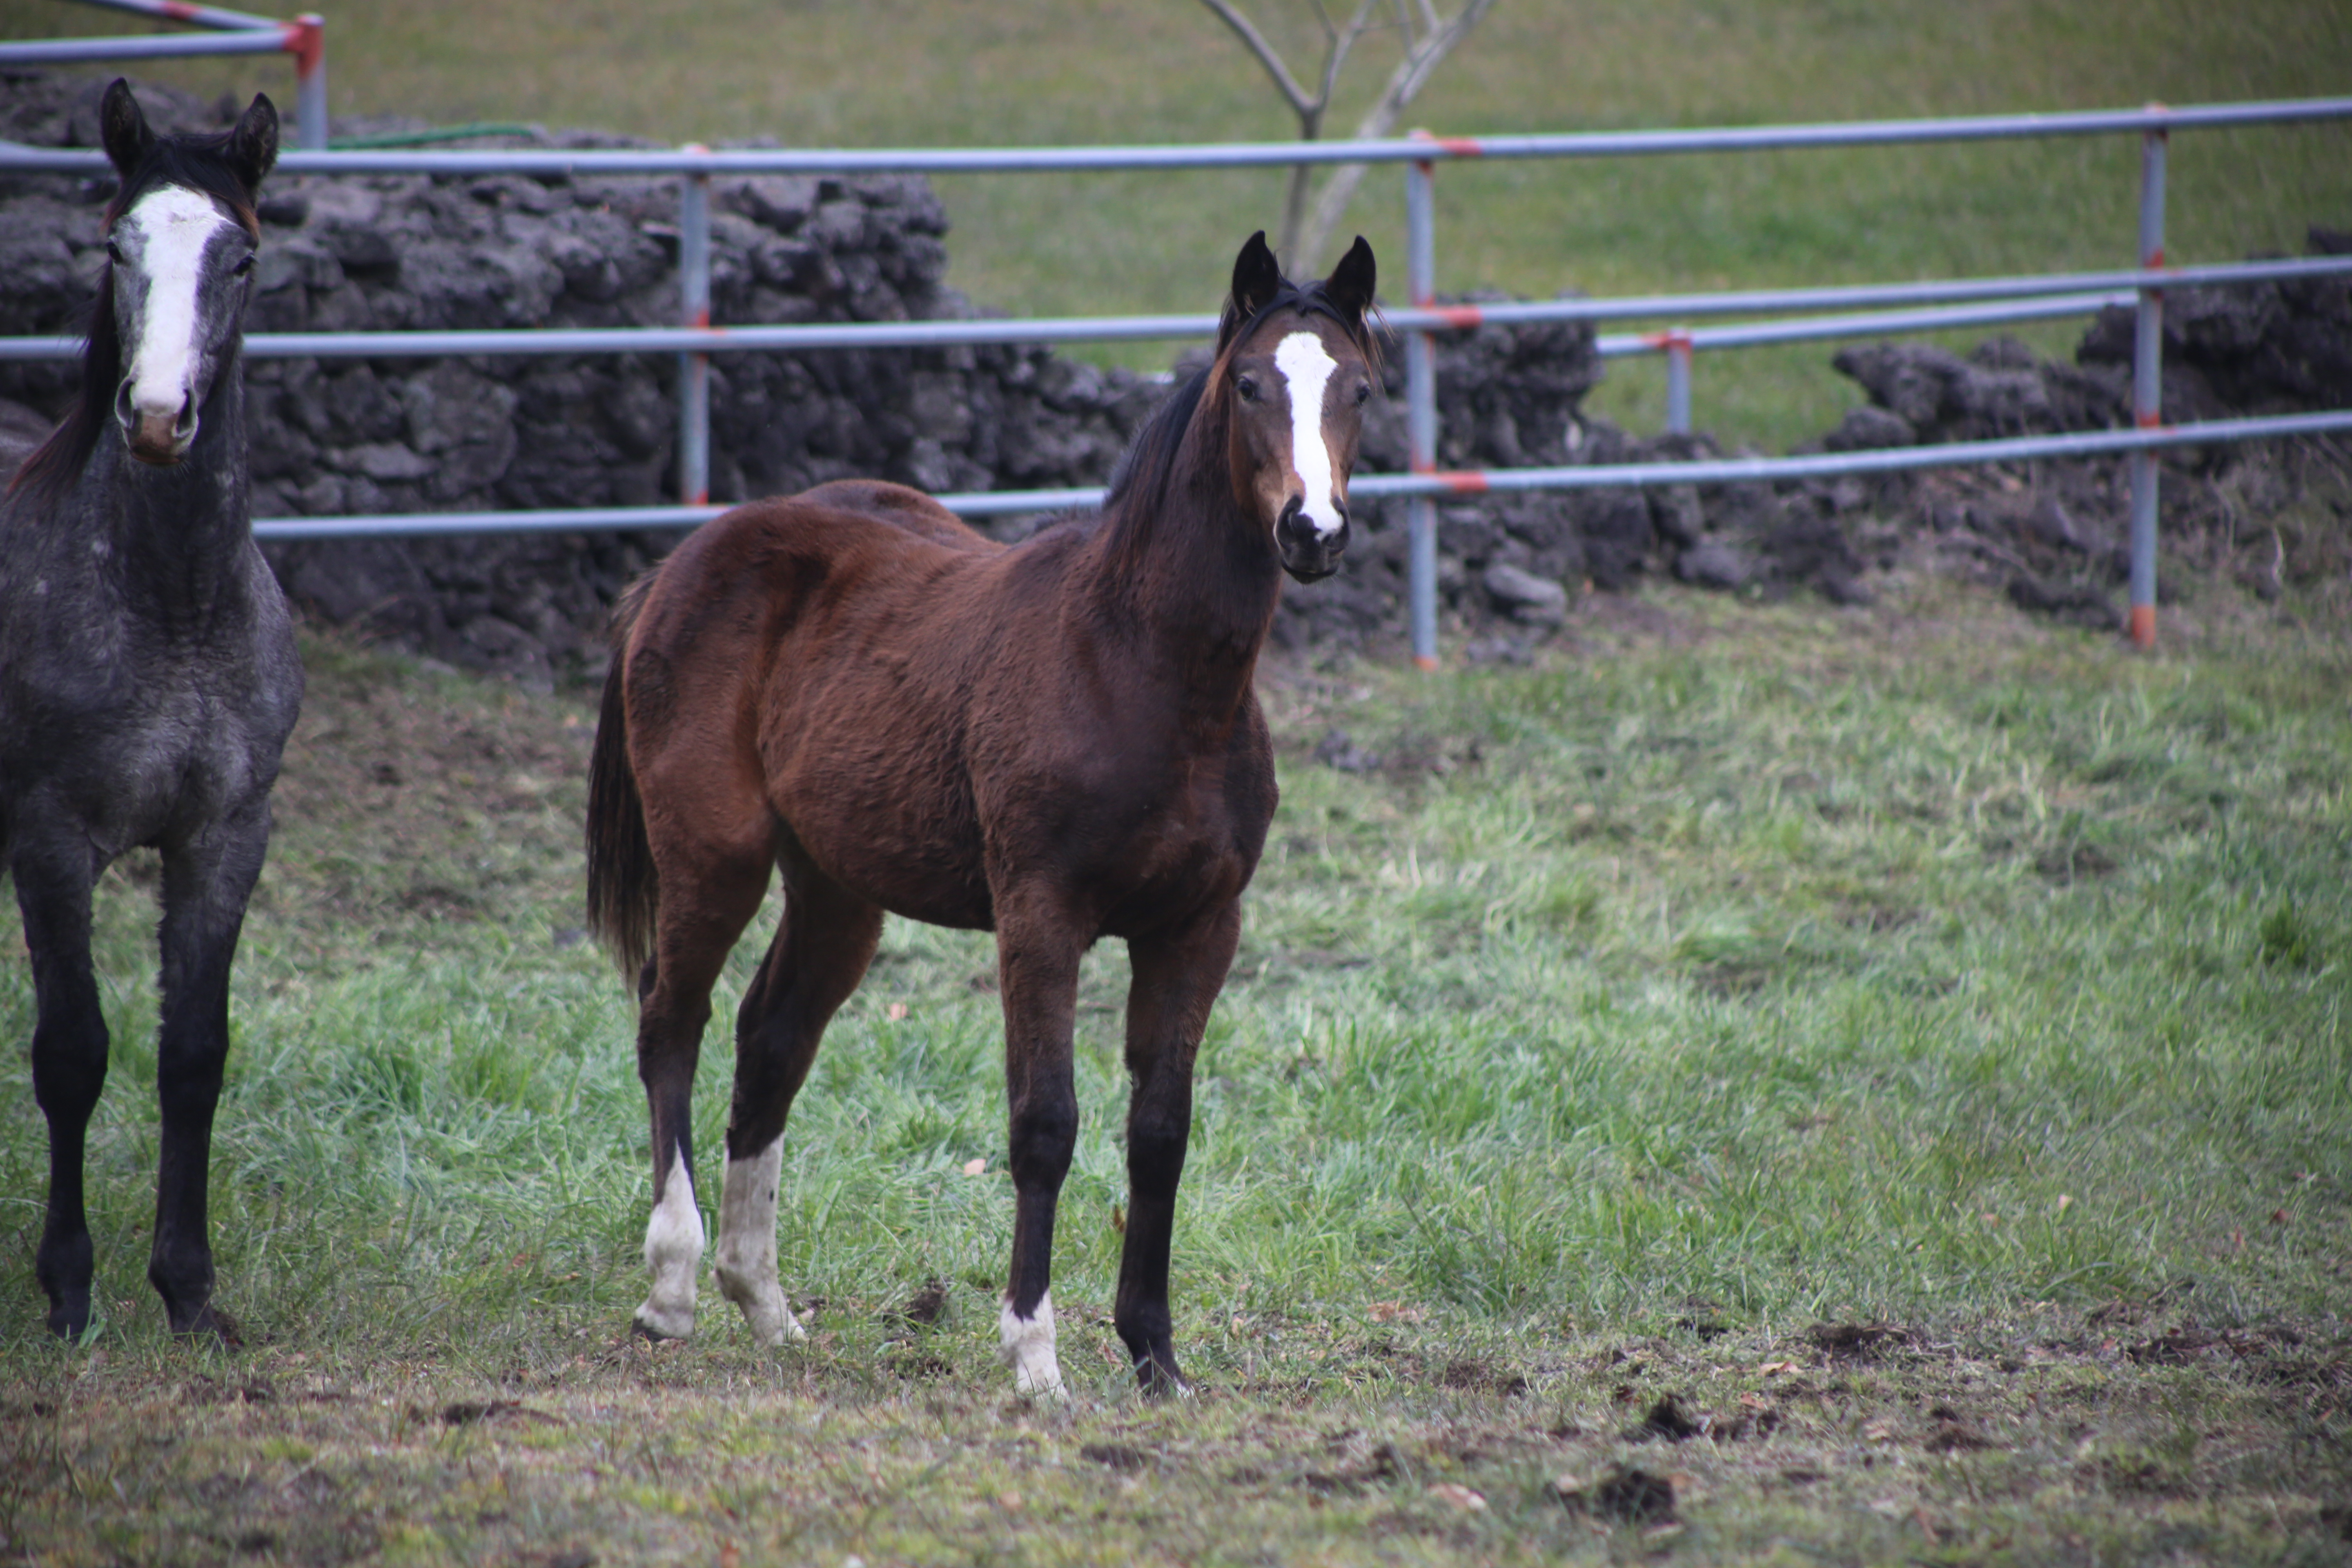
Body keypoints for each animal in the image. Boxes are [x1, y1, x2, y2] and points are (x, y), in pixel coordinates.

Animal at [586, 232, 1373, 1401]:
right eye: (1246, 385)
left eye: (1359, 390)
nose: (1312, 531)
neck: (1144, 668)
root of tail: (679, 566)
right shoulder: (1040, 915)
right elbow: (1045, 1123)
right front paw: (1035, 1358)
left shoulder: (1199, 927)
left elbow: (1161, 1130)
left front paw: (1155, 1356)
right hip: (714, 857)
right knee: (668, 1023)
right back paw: (672, 1288)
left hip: (838, 892)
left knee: (770, 1041)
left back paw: (763, 1303)